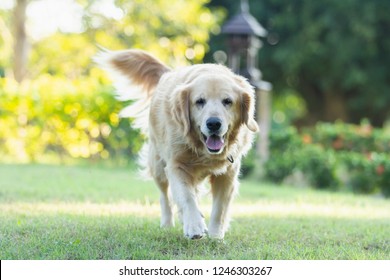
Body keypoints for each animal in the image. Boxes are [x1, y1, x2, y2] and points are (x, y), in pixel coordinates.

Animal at [96, 49, 258, 238]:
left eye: (228, 101)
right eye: (199, 101)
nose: (213, 123)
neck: (202, 150)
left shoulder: (227, 173)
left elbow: (220, 209)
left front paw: (216, 235)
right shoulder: (176, 166)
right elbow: (186, 197)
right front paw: (194, 225)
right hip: (158, 165)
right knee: (165, 196)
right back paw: (168, 223)